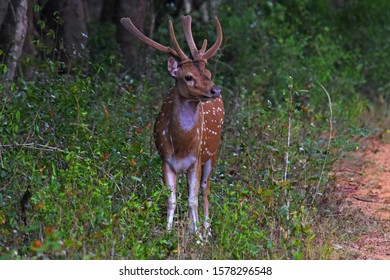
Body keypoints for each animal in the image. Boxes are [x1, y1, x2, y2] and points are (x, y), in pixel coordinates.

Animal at [122, 14, 225, 232]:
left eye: (208, 74)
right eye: (188, 77)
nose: (215, 90)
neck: (181, 145)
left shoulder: (196, 159)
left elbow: (193, 199)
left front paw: (198, 236)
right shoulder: (166, 161)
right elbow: (171, 199)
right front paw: (168, 232)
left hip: (212, 153)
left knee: (205, 191)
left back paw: (206, 228)